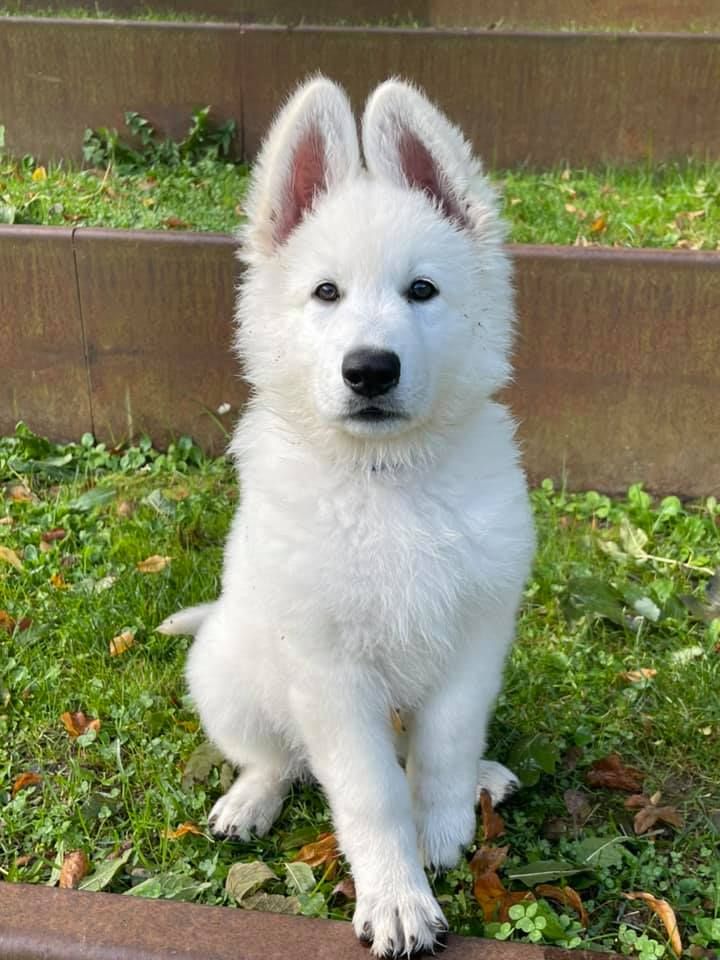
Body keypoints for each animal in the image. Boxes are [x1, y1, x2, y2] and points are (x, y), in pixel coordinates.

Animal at [162, 77, 536, 960]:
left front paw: (444, 827)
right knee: (275, 758)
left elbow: (443, 744)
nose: (370, 370)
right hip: (230, 677)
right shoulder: (331, 674)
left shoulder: (475, 636)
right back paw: (250, 801)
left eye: (422, 290)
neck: (385, 479)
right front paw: (397, 898)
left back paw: (483, 780)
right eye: (326, 293)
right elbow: (370, 794)